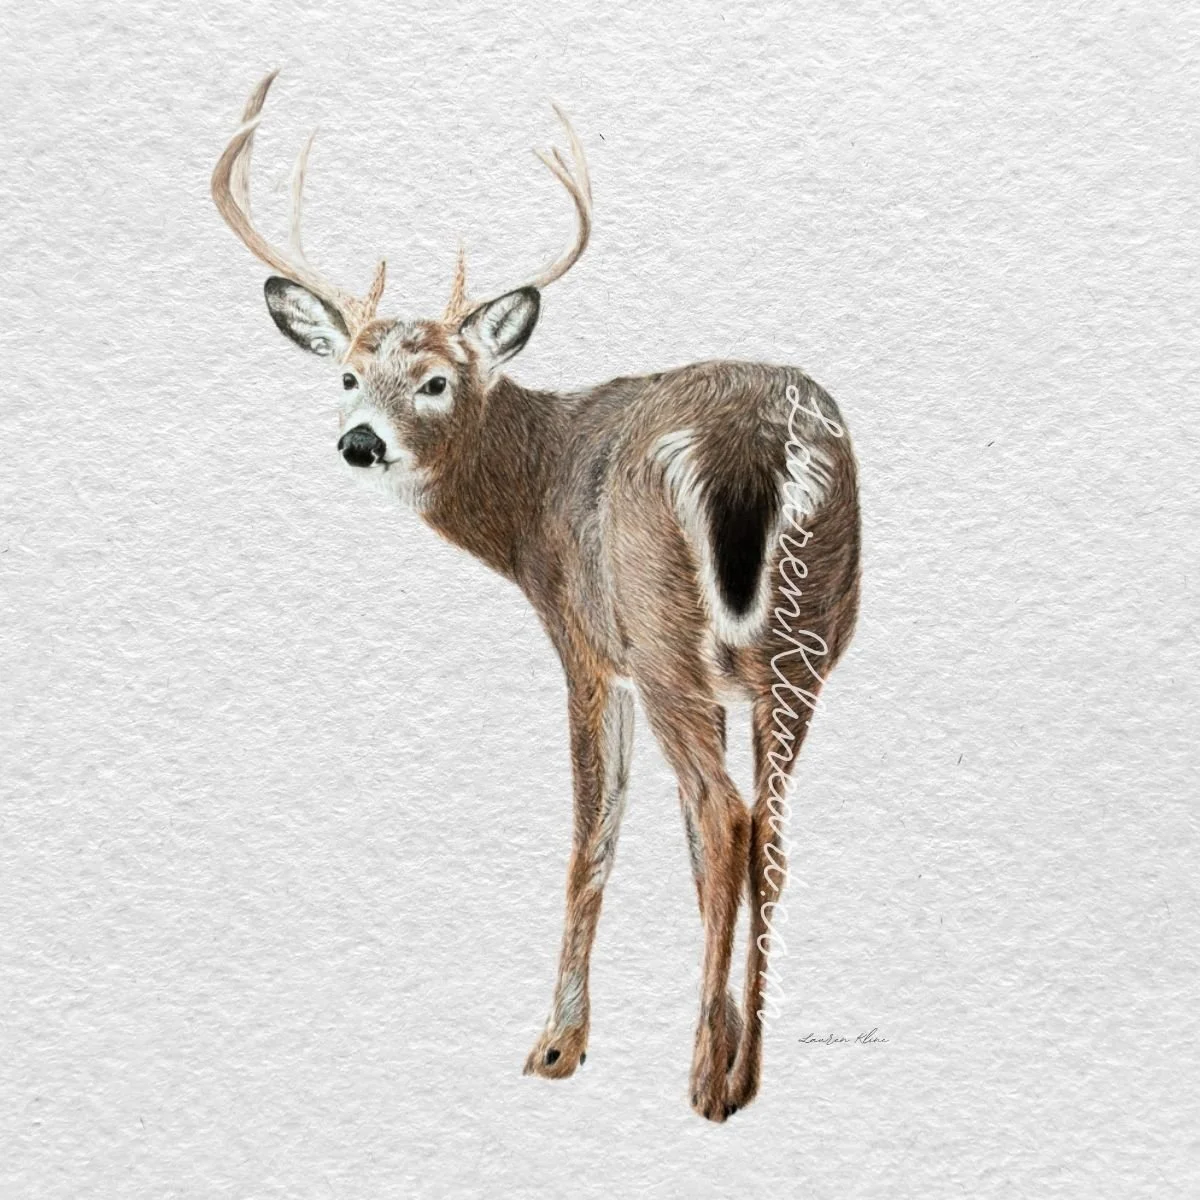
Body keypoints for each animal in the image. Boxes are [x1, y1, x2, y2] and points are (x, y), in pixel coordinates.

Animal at [211, 70, 861, 1123]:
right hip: (804, 644)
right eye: (347, 374)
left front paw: (560, 1046)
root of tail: (754, 441)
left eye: (435, 381)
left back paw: (702, 1081)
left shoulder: (588, 644)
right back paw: (746, 1073)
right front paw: (717, 1042)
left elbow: (595, 834)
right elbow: (690, 851)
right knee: (766, 824)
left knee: (727, 817)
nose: (359, 442)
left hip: (666, 634)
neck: (531, 497)